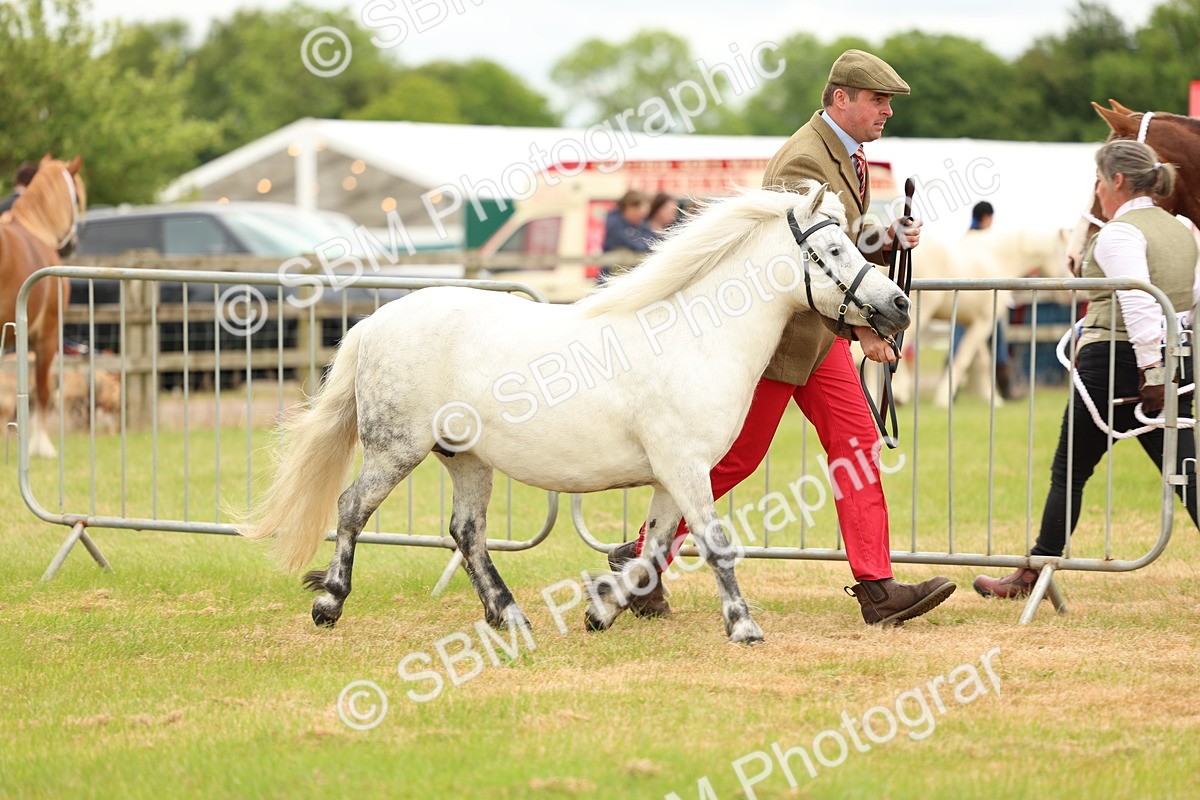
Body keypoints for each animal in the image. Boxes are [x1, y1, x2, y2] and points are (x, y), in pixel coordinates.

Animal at [238, 182, 912, 645]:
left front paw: (602, 608)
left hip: (467, 459)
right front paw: (744, 628)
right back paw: (329, 603)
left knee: (467, 532)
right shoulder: (686, 468)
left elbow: (652, 550)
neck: (695, 339)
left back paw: (509, 614)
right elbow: (716, 546)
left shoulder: (672, 476)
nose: (898, 305)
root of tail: (374, 321)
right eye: (832, 249)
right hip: (395, 448)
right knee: (353, 508)